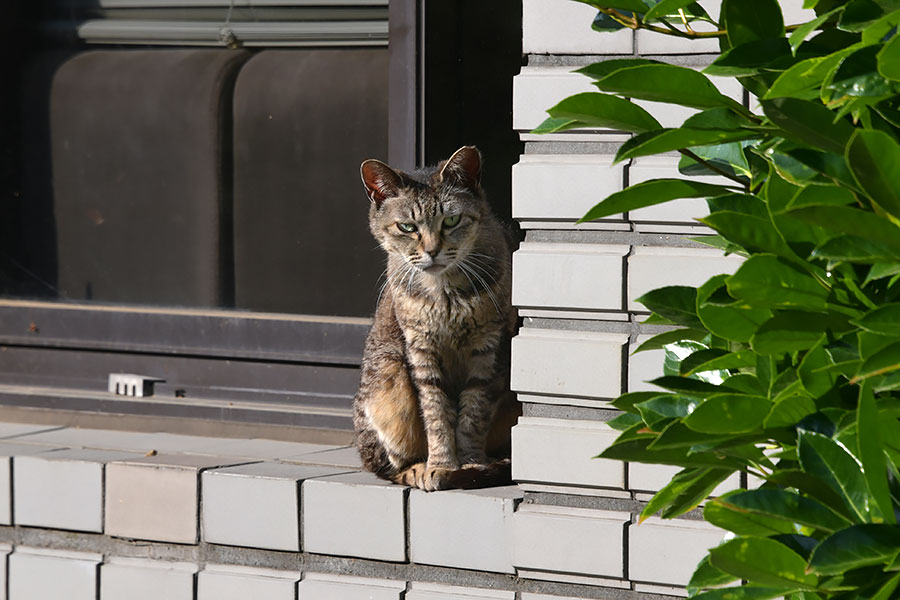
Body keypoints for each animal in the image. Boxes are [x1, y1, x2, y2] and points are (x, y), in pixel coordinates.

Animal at [354, 146, 520, 492]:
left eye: (451, 220)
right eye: (407, 227)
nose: (432, 250)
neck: (445, 295)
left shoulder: (490, 347)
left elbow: (473, 414)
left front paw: (470, 462)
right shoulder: (421, 350)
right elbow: (436, 413)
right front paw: (441, 464)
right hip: (387, 381)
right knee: (385, 467)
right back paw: (418, 469)